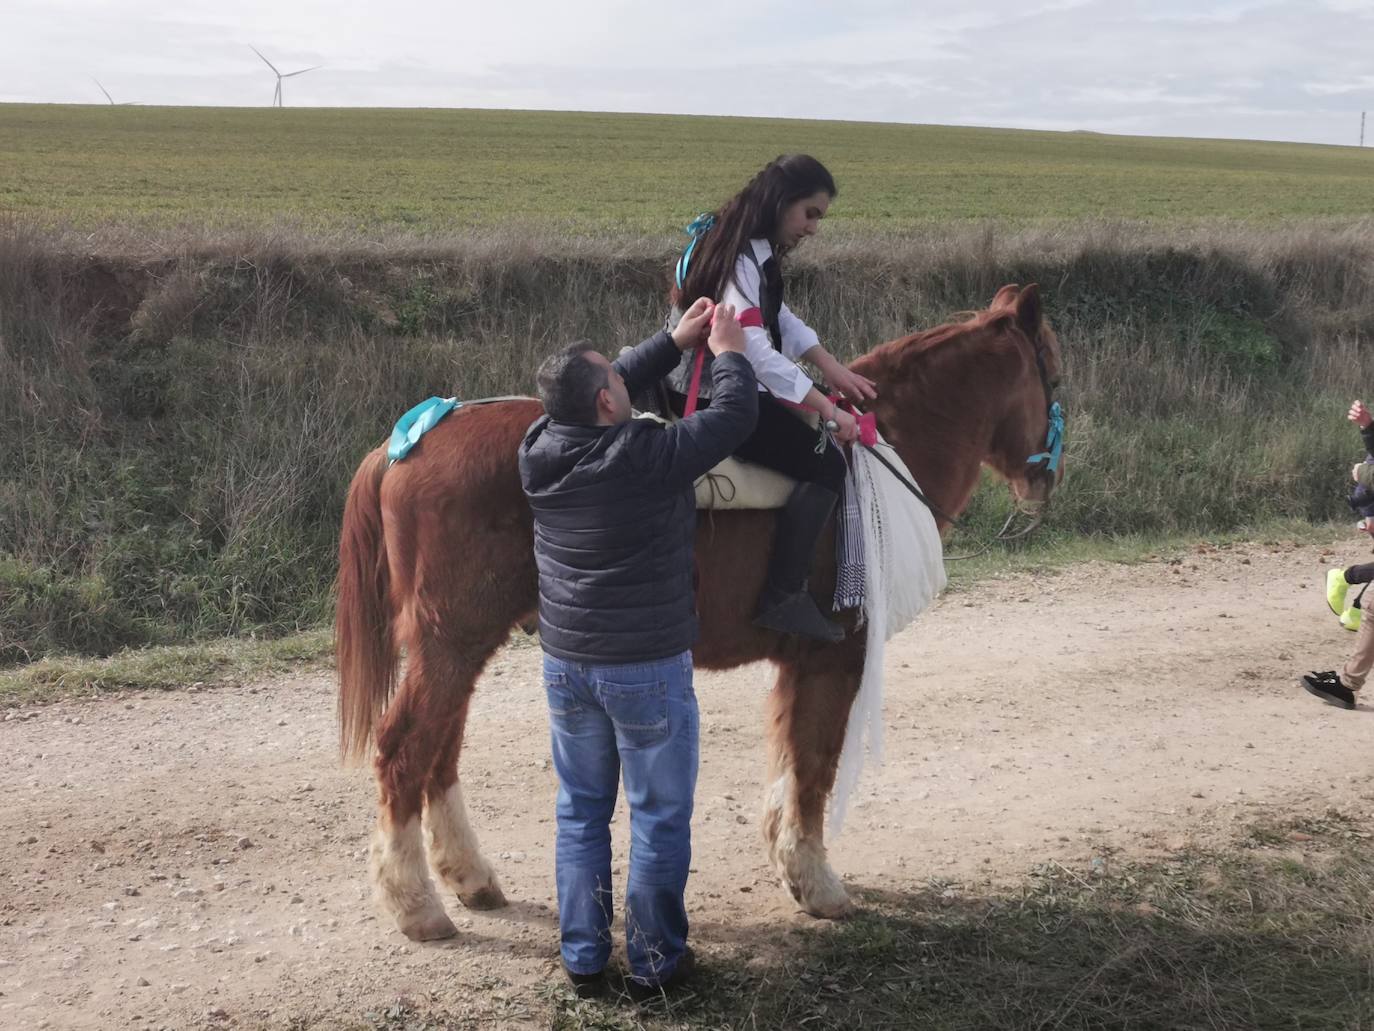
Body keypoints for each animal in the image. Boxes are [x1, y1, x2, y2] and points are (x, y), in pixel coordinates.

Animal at [335, 283, 1060, 945]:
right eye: (1051, 368)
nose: (1044, 481)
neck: (887, 451)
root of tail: (411, 440)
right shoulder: (836, 655)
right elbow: (815, 762)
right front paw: (816, 880)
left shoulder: (799, 662)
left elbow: (790, 758)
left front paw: (789, 858)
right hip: (452, 640)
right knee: (404, 751)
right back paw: (415, 903)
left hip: (458, 645)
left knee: (440, 751)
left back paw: (469, 877)